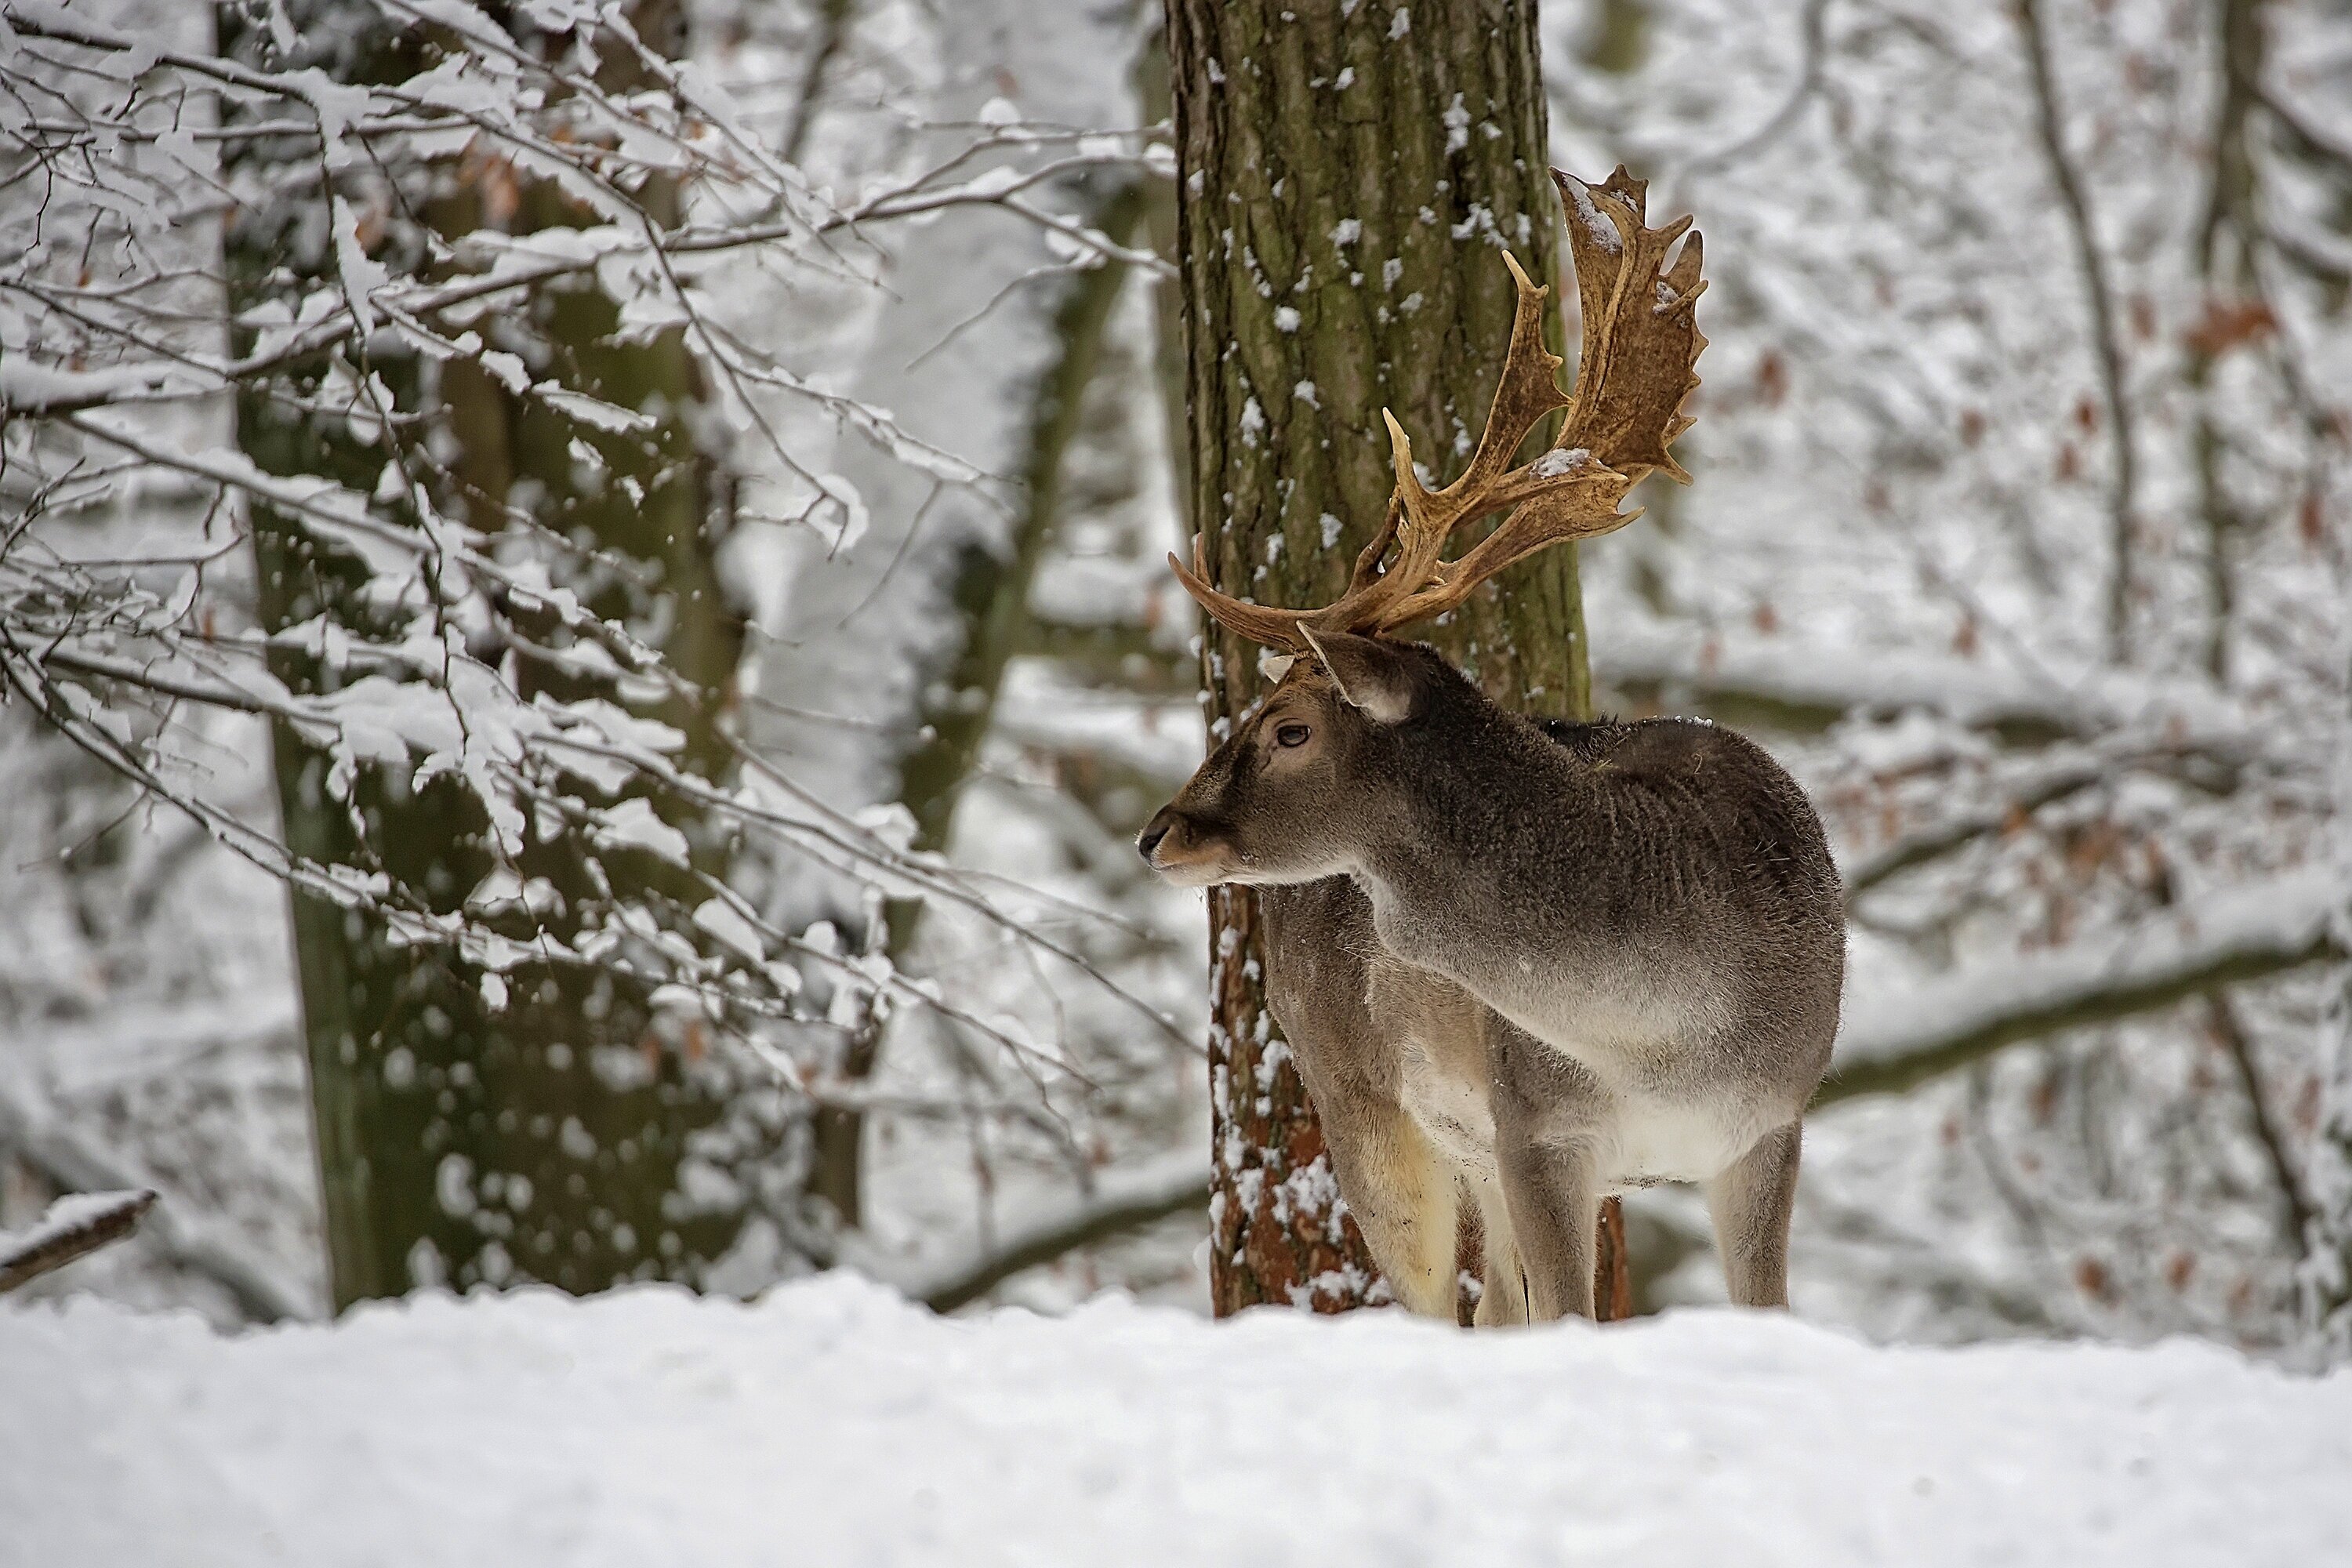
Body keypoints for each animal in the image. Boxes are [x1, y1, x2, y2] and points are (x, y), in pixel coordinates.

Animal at [1148, 171, 1844, 1326]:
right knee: (1442, 1304)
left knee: (1486, 1312)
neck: (1670, 1038)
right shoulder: (1539, 1123)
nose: (1161, 830)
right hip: (1364, 1100)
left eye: (1289, 727)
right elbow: (1566, 1317)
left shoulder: (1773, 1120)